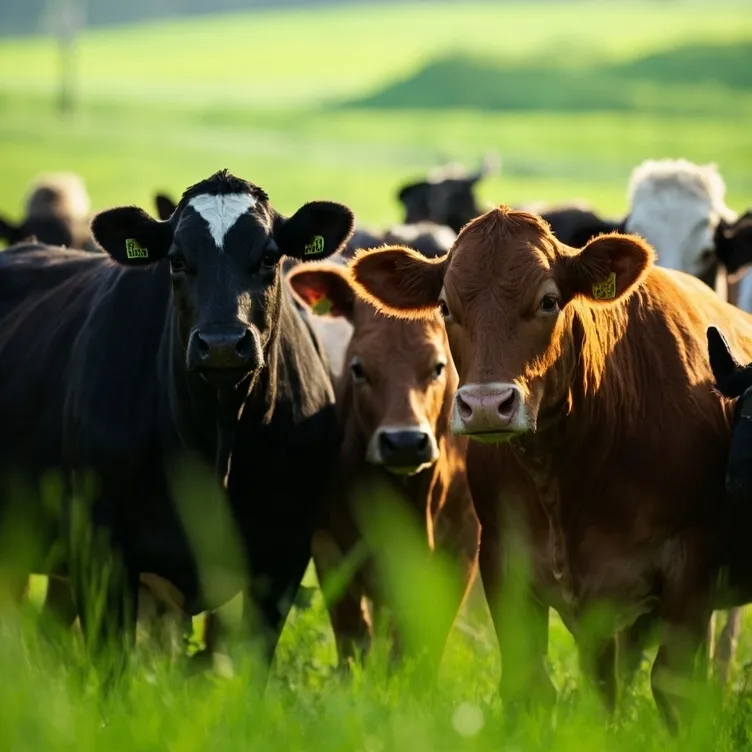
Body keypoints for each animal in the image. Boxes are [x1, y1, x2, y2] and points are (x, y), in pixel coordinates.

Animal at [0, 169, 354, 677]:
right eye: (177, 260)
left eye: (269, 257)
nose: (222, 343)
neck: (217, 444)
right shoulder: (100, 549)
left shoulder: (282, 556)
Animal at [287, 259, 479, 674]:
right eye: (358, 368)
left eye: (438, 367)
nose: (404, 442)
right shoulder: (328, 545)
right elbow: (352, 635)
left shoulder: (463, 547)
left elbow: (422, 642)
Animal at [347, 205, 752, 731]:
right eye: (445, 307)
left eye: (549, 301)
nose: (485, 405)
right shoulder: (505, 560)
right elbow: (534, 682)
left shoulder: (692, 566)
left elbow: (675, 687)